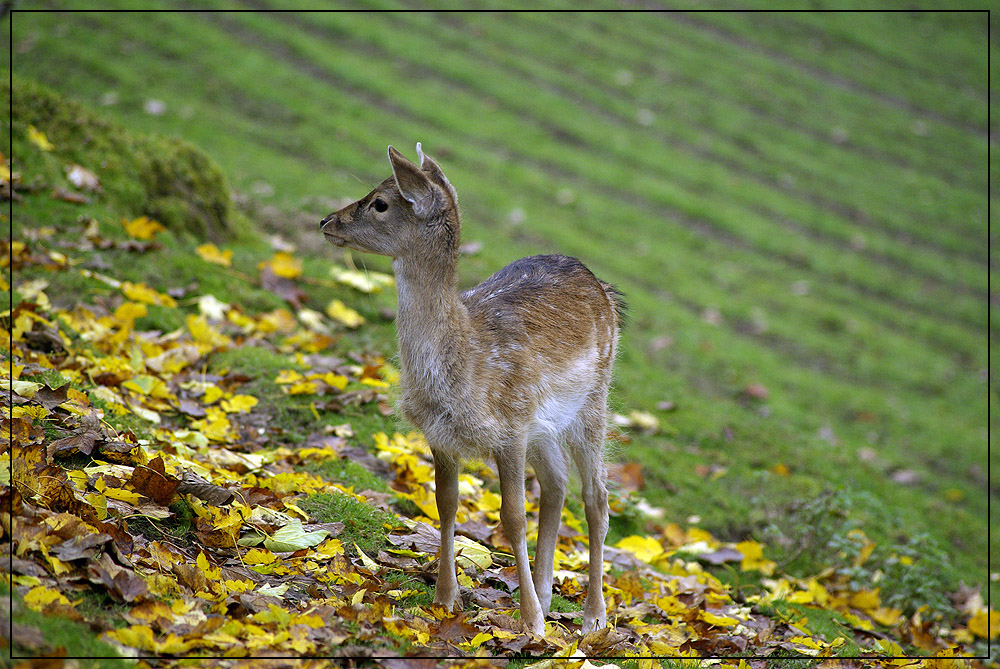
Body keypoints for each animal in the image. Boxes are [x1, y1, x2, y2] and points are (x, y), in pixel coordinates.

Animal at [320, 144, 624, 636]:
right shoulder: (442, 434)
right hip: (545, 423)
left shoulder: (511, 427)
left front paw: (532, 623)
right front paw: (446, 599)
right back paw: (545, 593)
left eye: (380, 202)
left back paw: (593, 616)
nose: (326, 221)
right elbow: (445, 505)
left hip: (593, 398)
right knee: (557, 481)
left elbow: (512, 518)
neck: (463, 370)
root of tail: (608, 292)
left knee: (596, 497)